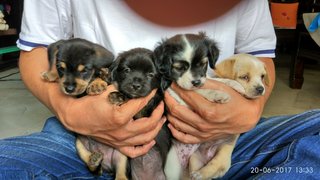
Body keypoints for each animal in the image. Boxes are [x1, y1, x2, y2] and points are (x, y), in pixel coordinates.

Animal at [76, 47, 171, 180]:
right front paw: (98, 81)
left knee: (121, 175)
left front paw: (118, 96)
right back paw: (94, 160)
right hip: (79, 144)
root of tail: (107, 166)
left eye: (150, 75)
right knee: (95, 169)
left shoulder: (145, 110)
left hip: (122, 156)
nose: (136, 85)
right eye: (127, 70)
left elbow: (136, 99)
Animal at [155, 32, 240, 180]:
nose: (196, 82)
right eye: (179, 68)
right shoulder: (176, 96)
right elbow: (199, 91)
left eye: (203, 64)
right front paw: (218, 94)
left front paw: (237, 85)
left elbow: (218, 80)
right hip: (172, 166)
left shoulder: (205, 78)